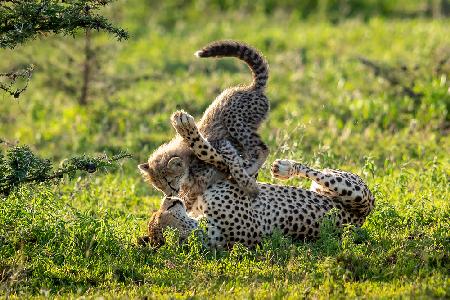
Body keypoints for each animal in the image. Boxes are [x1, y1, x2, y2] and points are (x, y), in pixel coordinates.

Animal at [139, 40, 268, 211]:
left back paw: (250, 167)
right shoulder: (196, 189)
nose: (169, 194)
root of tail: (250, 87)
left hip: (233, 119)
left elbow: (223, 159)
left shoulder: (222, 145)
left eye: (169, 181)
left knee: (261, 149)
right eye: (158, 186)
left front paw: (249, 186)